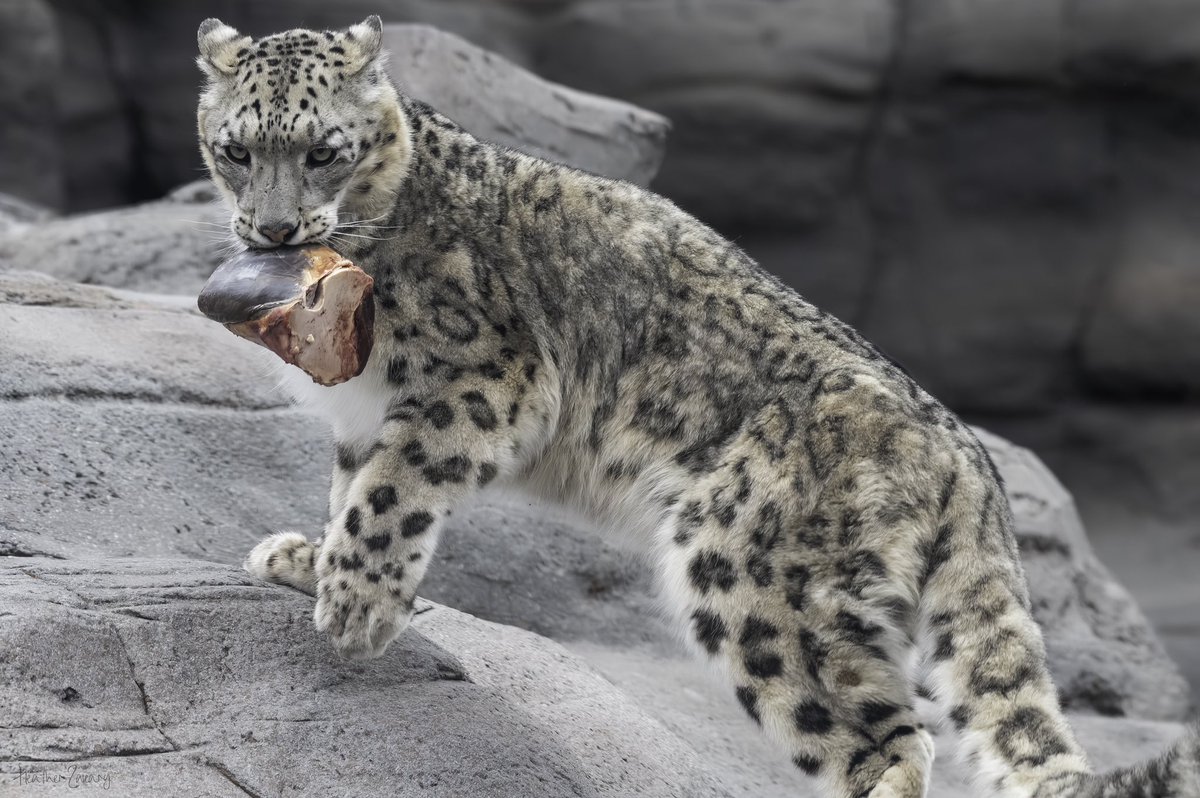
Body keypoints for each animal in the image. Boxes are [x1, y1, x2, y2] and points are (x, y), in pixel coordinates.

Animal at [199, 14, 1200, 796]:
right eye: (236, 148)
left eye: (322, 149)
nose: (274, 230)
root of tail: (968, 460)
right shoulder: (365, 410)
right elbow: (352, 487)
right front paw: (307, 561)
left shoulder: (481, 378)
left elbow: (391, 490)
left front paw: (353, 607)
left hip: (753, 578)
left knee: (886, 737)